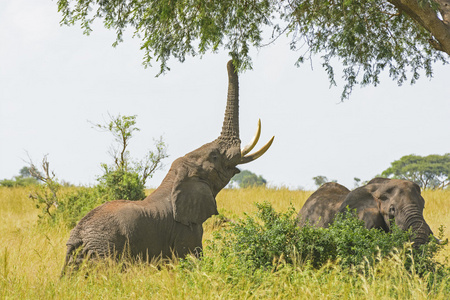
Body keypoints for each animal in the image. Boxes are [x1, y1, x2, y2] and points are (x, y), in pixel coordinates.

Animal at [62, 59, 274, 274]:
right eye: (215, 156)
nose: (231, 61)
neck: (175, 179)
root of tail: (77, 236)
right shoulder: (186, 229)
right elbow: (193, 260)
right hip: (105, 249)